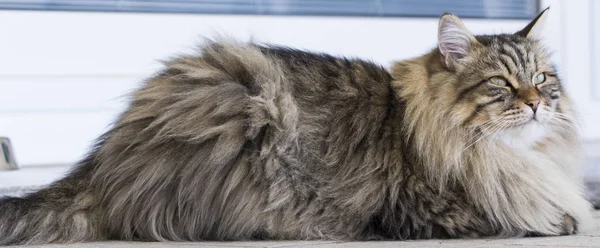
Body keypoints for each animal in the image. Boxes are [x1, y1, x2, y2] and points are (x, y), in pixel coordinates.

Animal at [0, 6, 592, 245]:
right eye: (501, 85)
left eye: (542, 79)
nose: (536, 104)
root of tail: (101, 163)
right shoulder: (433, 209)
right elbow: (543, 216)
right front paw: (570, 219)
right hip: (246, 102)